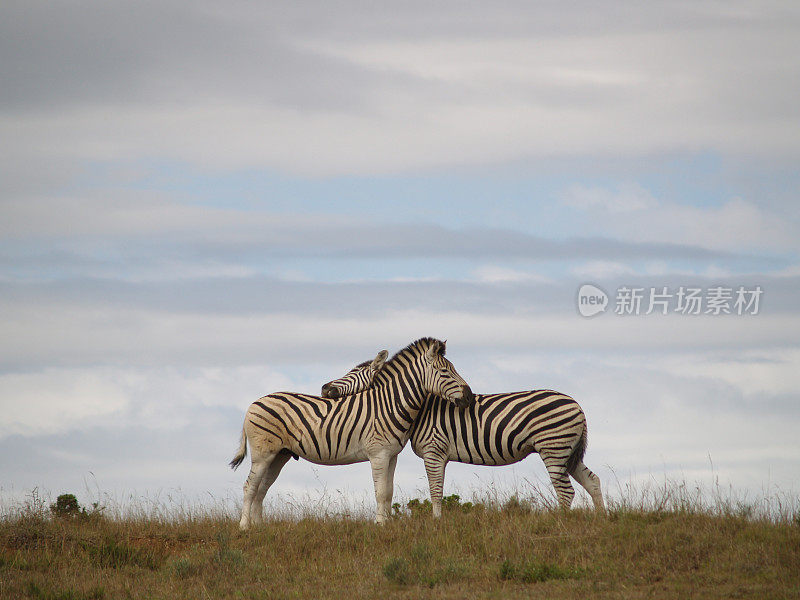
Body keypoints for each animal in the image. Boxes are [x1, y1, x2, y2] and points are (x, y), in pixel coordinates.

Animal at [228, 338, 472, 528]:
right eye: (444, 371)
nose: (469, 396)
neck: (389, 404)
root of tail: (254, 402)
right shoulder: (378, 454)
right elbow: (381, 492)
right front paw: (380, 524)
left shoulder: (391, 455)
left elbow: (389, 491)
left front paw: (387, 524)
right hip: (263, 453)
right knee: (250, 486)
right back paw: (244, 527)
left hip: (279, 455)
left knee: (262, 489)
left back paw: (259, 527)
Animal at [322, 352, 604, 516]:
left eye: (353, 373)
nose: (324, 388)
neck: (422, 408)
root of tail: (577, 405)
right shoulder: (441, 455)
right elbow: (439, 490)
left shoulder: (434, 451)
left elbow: (435, 492)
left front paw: (436, 527)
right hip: (567, 451)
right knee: (592, 481)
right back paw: (601, 520)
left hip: (553, 448)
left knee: (566, 492)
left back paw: (560, 525)